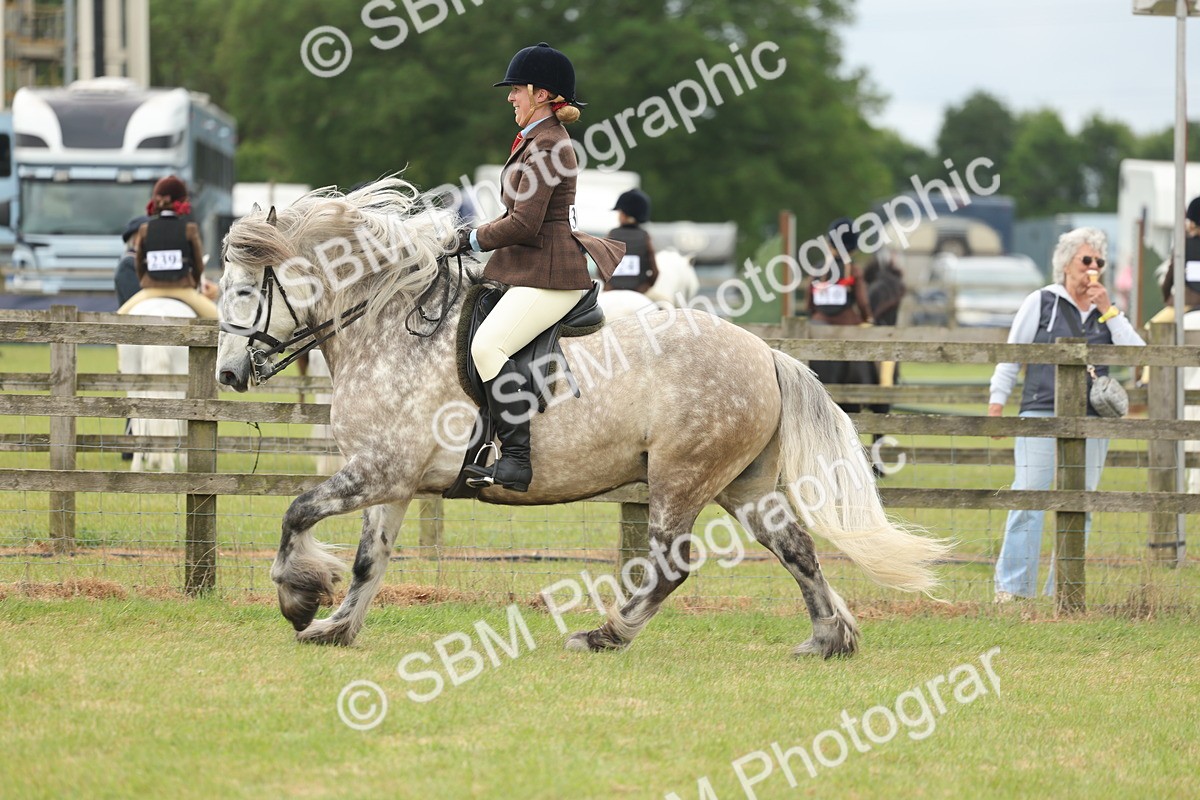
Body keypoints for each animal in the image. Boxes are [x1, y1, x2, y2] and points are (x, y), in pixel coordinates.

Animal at [215, 178, 952, 655]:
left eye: (246, 292)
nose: (226, 375)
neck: (393, 327)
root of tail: (766, 353)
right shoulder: (392, 480)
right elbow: (371, 560)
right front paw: (335, 627)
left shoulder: (379, 470)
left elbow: (297, 512)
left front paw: (299, 599)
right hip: (742, 485)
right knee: (795, 546)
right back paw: (829, 637)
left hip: (680, 478)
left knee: (671, 566)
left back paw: (605, 634)